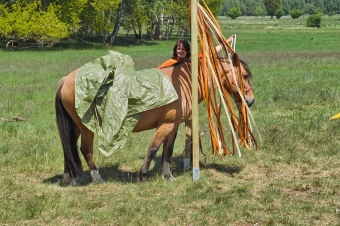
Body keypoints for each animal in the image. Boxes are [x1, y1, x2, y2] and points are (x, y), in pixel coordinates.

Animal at [55, 54, 252, 185]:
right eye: (244, 76)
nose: (250, 101)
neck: (182, 83)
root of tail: (67, 79)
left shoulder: (173, 126)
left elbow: (167, 150)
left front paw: (168, 175)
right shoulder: (166, 125)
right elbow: (153, 148)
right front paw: (142, 174)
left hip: (75, 126)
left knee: (67, 147)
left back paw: (69, 178)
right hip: (86, 127)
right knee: (85, 149)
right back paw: (97, 177)